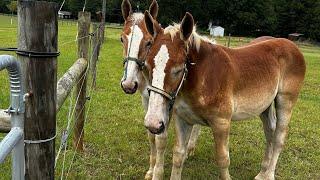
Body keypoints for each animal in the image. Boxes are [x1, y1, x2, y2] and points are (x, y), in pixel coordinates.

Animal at [120, 1, 200, 179]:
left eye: (149, 42)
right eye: (122, 39)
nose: (128, 84)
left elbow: (162, 139)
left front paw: (158, 171)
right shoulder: (148, 102)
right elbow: (152, 136)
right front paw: (151, 169)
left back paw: (190, 148)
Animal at [142, 11, 304, 180]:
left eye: (178, 69)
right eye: (147, 66)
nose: (153, 123)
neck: (202, 76)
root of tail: (293, 46)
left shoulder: (221, 123)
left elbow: (223, 159)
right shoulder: (183, 119)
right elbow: (179, 155)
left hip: (286, 101)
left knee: (279, 137)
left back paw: (269, 174)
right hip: (264, 107)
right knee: (270, 132)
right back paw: (262, 173)